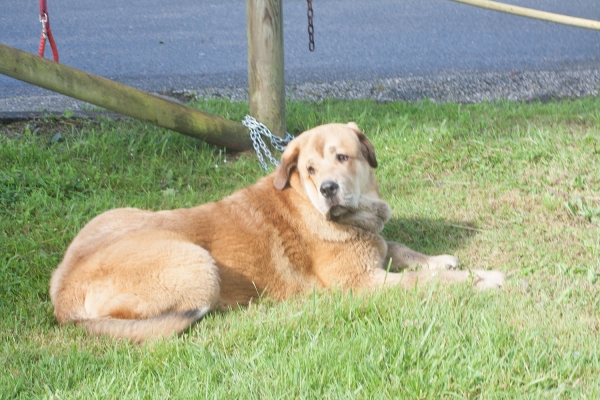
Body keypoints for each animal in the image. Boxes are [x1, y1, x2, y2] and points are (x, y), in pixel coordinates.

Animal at [49, 122, 504, 340]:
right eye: (310, 170)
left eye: (343, 157)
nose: (328, 189)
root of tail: (63, 292)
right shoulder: (361, 283)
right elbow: (427, 282)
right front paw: (482, 280)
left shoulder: (374, 247)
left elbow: (403, 248)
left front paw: (444, 260)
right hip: (197, 263)